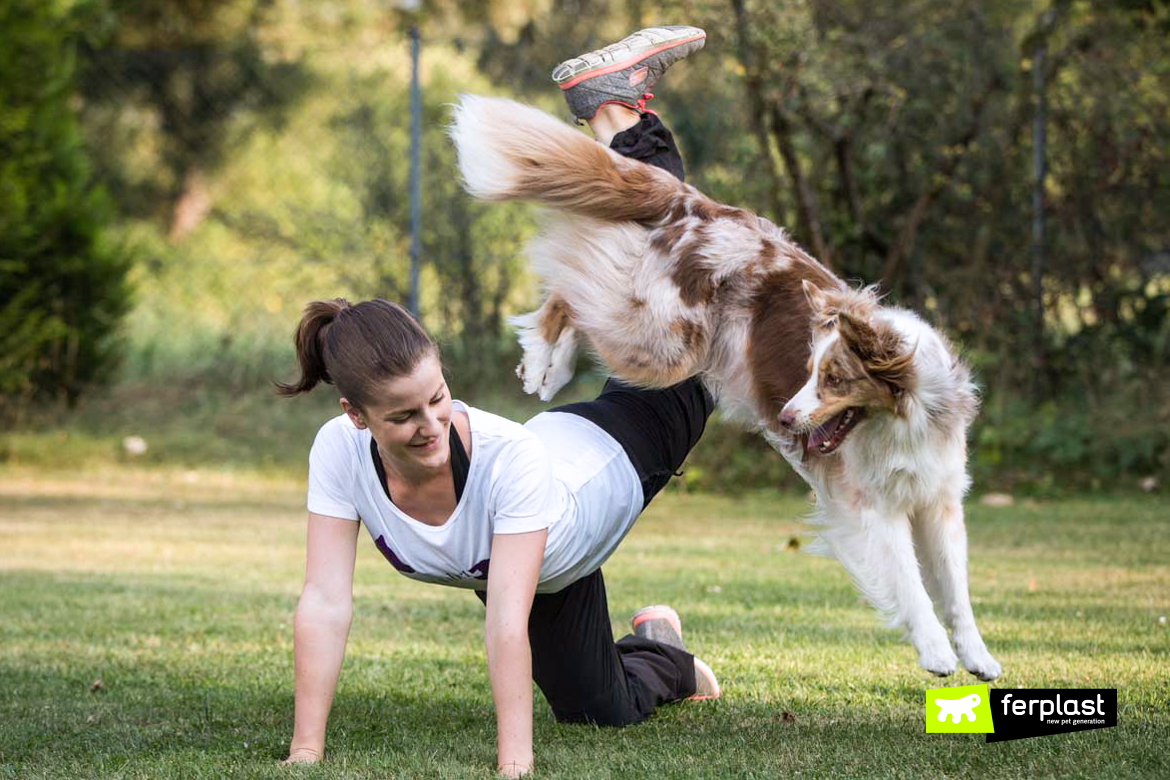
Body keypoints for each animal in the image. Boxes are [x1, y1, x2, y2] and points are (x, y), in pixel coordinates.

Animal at [451, 94, 1001, 678]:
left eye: (832, 378)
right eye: (808, 370)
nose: (784, 418)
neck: (905, 418)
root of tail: (699, 206)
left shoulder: (939, 500)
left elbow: (956, 589)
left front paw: (977, 655)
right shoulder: (872, 507)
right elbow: (912, 584)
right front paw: (935, 650)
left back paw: (548, 364)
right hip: (662, 341)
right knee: (572, 287)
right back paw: (542, 360)